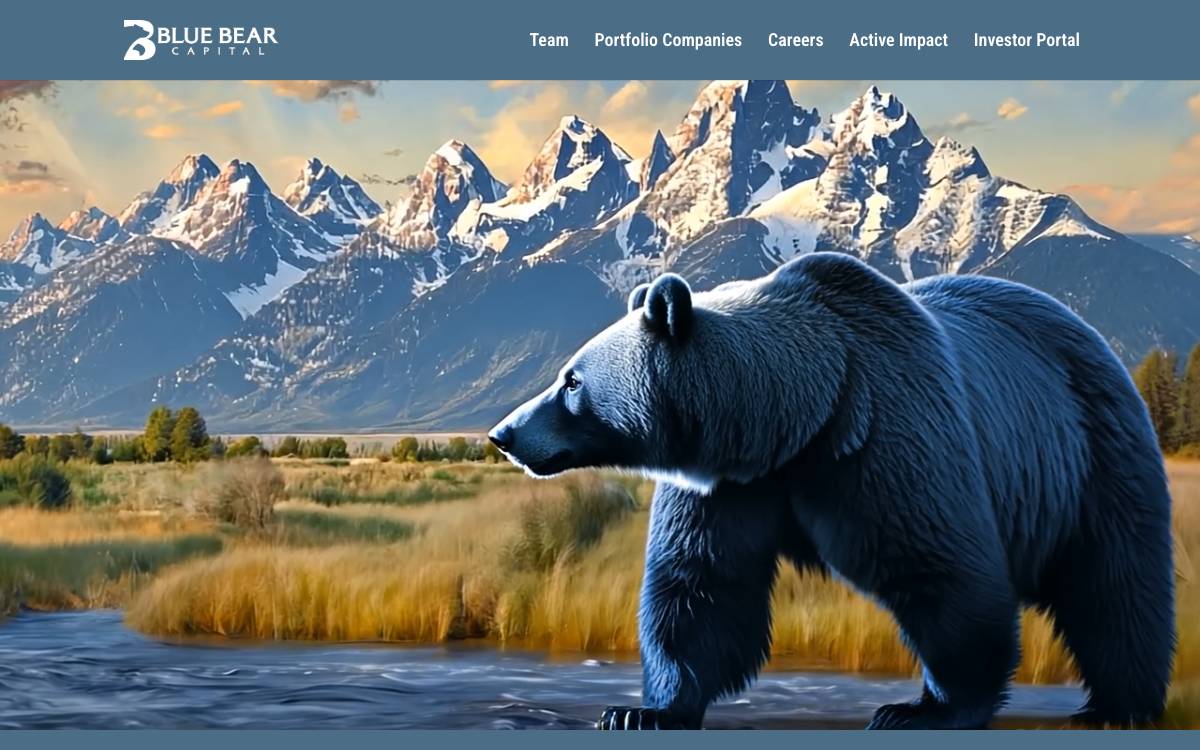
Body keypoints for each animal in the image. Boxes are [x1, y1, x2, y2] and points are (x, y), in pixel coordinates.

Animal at [488, 252, 1176, 730]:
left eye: (571, 381)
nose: (503, 433)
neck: (794, 422)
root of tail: (1083, 329)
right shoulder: (728, 489)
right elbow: (700, 588)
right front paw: (643, 710)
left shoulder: (889, 435)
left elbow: (946, 573)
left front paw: (923, 708)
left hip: (1089, 453)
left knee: (1114, 582)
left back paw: (1119, 704)